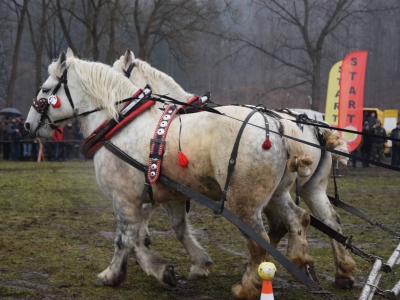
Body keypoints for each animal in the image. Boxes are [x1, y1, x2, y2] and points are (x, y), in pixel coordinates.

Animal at [25, 49, 312, 300]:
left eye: (46, 90)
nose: (28, 124)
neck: (120, 124)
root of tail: (275, 124)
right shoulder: (167, 193)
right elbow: (174, 230)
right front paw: (194, 265)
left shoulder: (125, 198)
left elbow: (126, 239)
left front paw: (117, 274)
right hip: (277, 193)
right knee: (296, 218)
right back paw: (299, 260)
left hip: (245, 202)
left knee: (259, 241)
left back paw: (248, 286)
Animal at [112, 49, 356, 288]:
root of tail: (317, 129)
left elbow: (148, 210)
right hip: (310, 188)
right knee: (326, 220)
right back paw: (339, 272)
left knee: (275, 227)